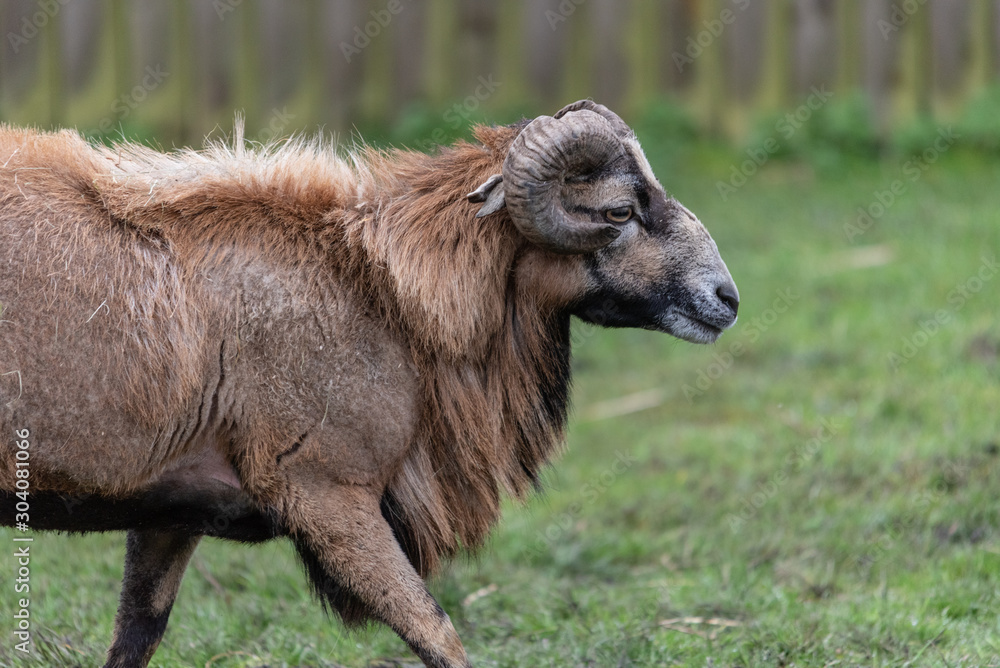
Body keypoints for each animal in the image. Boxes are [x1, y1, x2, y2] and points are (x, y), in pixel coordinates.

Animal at [0, 100, 736, 668]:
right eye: (617, 212)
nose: (725, 299)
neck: (381, 290)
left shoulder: (170, 513)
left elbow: (137, 635)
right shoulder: (330, 499)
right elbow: (438, 634)